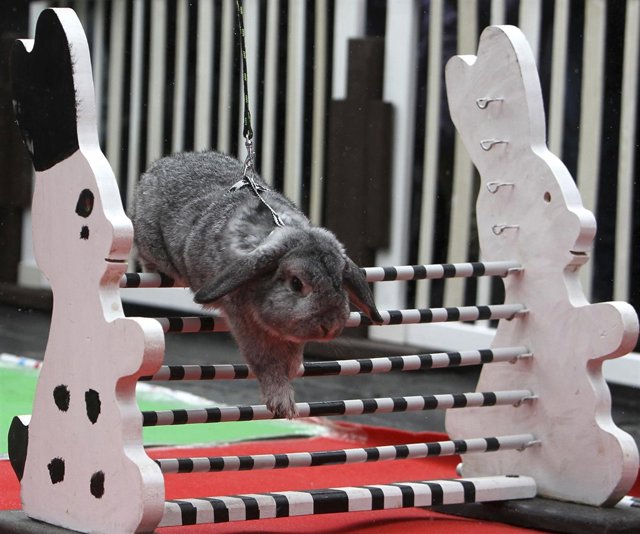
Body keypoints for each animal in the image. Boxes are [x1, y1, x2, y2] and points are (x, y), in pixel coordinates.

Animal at [131, 150, 383, 418]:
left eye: (339, 283)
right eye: (296, 283)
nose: (329, 326)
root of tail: (163, 163)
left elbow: (291, 356)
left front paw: (292, 373)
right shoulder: (245, 323)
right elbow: (265, 362)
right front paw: (283, 405)